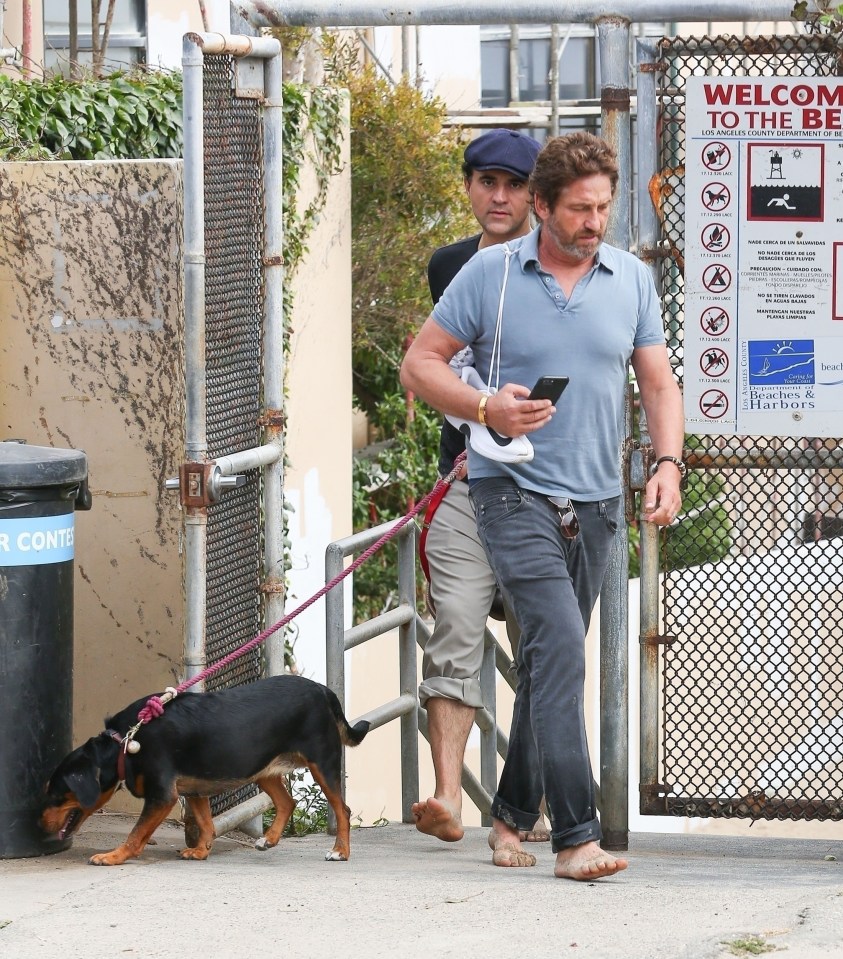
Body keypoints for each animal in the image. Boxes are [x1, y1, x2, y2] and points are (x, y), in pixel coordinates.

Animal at [40, 676, 370, 872]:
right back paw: (269, 840)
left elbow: (136, 835)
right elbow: (206, 824)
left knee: (342, 809)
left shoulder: (162, 796)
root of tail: (323, 690)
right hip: (261, 767)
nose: (39, 826)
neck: (125, 741)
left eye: (56, 794)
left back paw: (340, 852)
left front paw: (113, 856)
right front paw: (200, 852)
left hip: (322, 764)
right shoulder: (193, 789)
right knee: (287, 802)